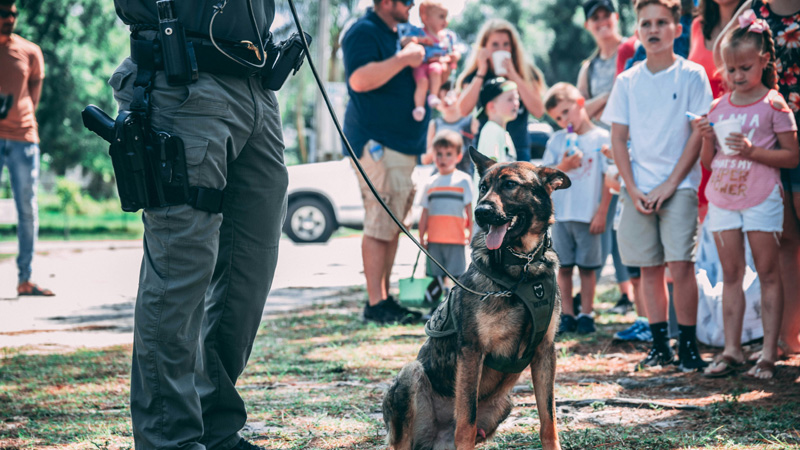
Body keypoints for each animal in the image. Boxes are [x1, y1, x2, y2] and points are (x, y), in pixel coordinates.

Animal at [382, 149, 568, 450]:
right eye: (483, 187)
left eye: (510, 185)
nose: (481, 212)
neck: (522, 268)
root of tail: (437, 441)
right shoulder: (472, 351)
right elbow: (466, 421)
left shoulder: (544, 353)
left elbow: (548, 420)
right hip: (411, 374)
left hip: (504, 403)